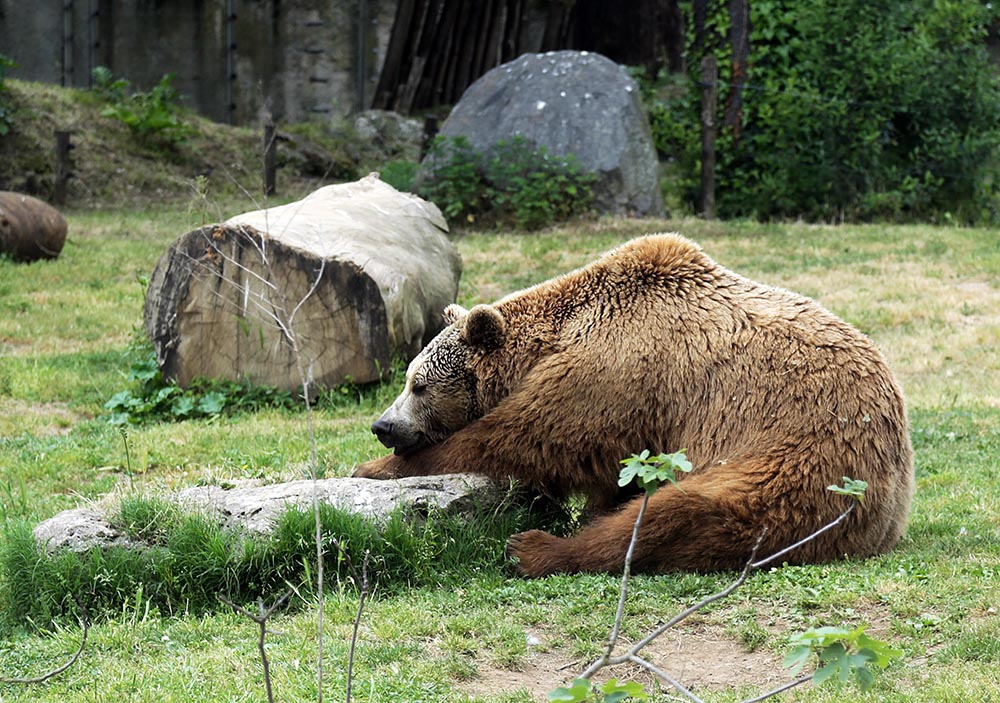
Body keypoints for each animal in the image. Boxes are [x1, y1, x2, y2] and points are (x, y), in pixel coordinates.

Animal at [353, 233, 915, 577]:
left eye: (418, 385)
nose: (383, 426)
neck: (557, 335)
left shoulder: (617, 370)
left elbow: (529, 438)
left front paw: (372, 467)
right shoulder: (633, 412)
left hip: (800, 457)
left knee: (685, 513)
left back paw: (533, 548)